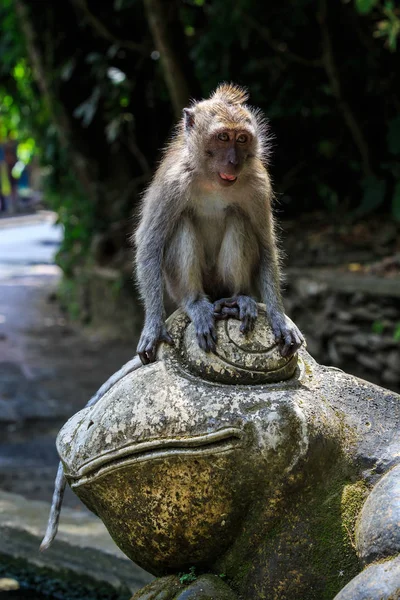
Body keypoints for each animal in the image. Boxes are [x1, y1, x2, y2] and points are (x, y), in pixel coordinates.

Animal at [136, 81, 304, 364]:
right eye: (223, 137)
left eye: (242, 139)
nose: (234, 161)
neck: (211, 179)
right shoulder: (172, 182)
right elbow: (150, 244)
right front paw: (153, 326)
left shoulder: (258, 184)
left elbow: (266, 245)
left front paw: (279, 318)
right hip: (179, 285)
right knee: (182, 223)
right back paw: (195, 303)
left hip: (223, 282)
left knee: (239, 219)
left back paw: (239, 300)